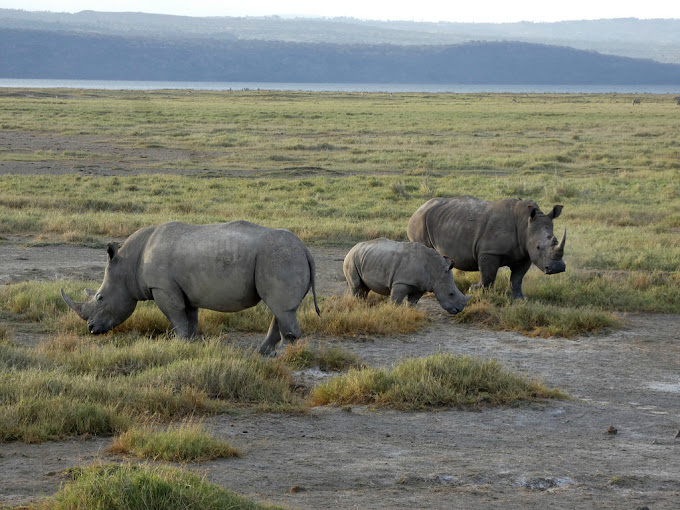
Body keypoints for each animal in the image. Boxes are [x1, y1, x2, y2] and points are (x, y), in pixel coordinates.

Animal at [342, 238, 470, 312]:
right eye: (451, 293)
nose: (459, 310)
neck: (436, 271)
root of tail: (353, 248)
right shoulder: (401, 282)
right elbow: (396, 300)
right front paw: (393, 312)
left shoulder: (421, 286)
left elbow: (413, 302)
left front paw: (410, 311)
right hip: (351, 259)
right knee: (356, 286)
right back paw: (357, 306)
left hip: (364, 257)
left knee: (365, 288)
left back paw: (362, 305)